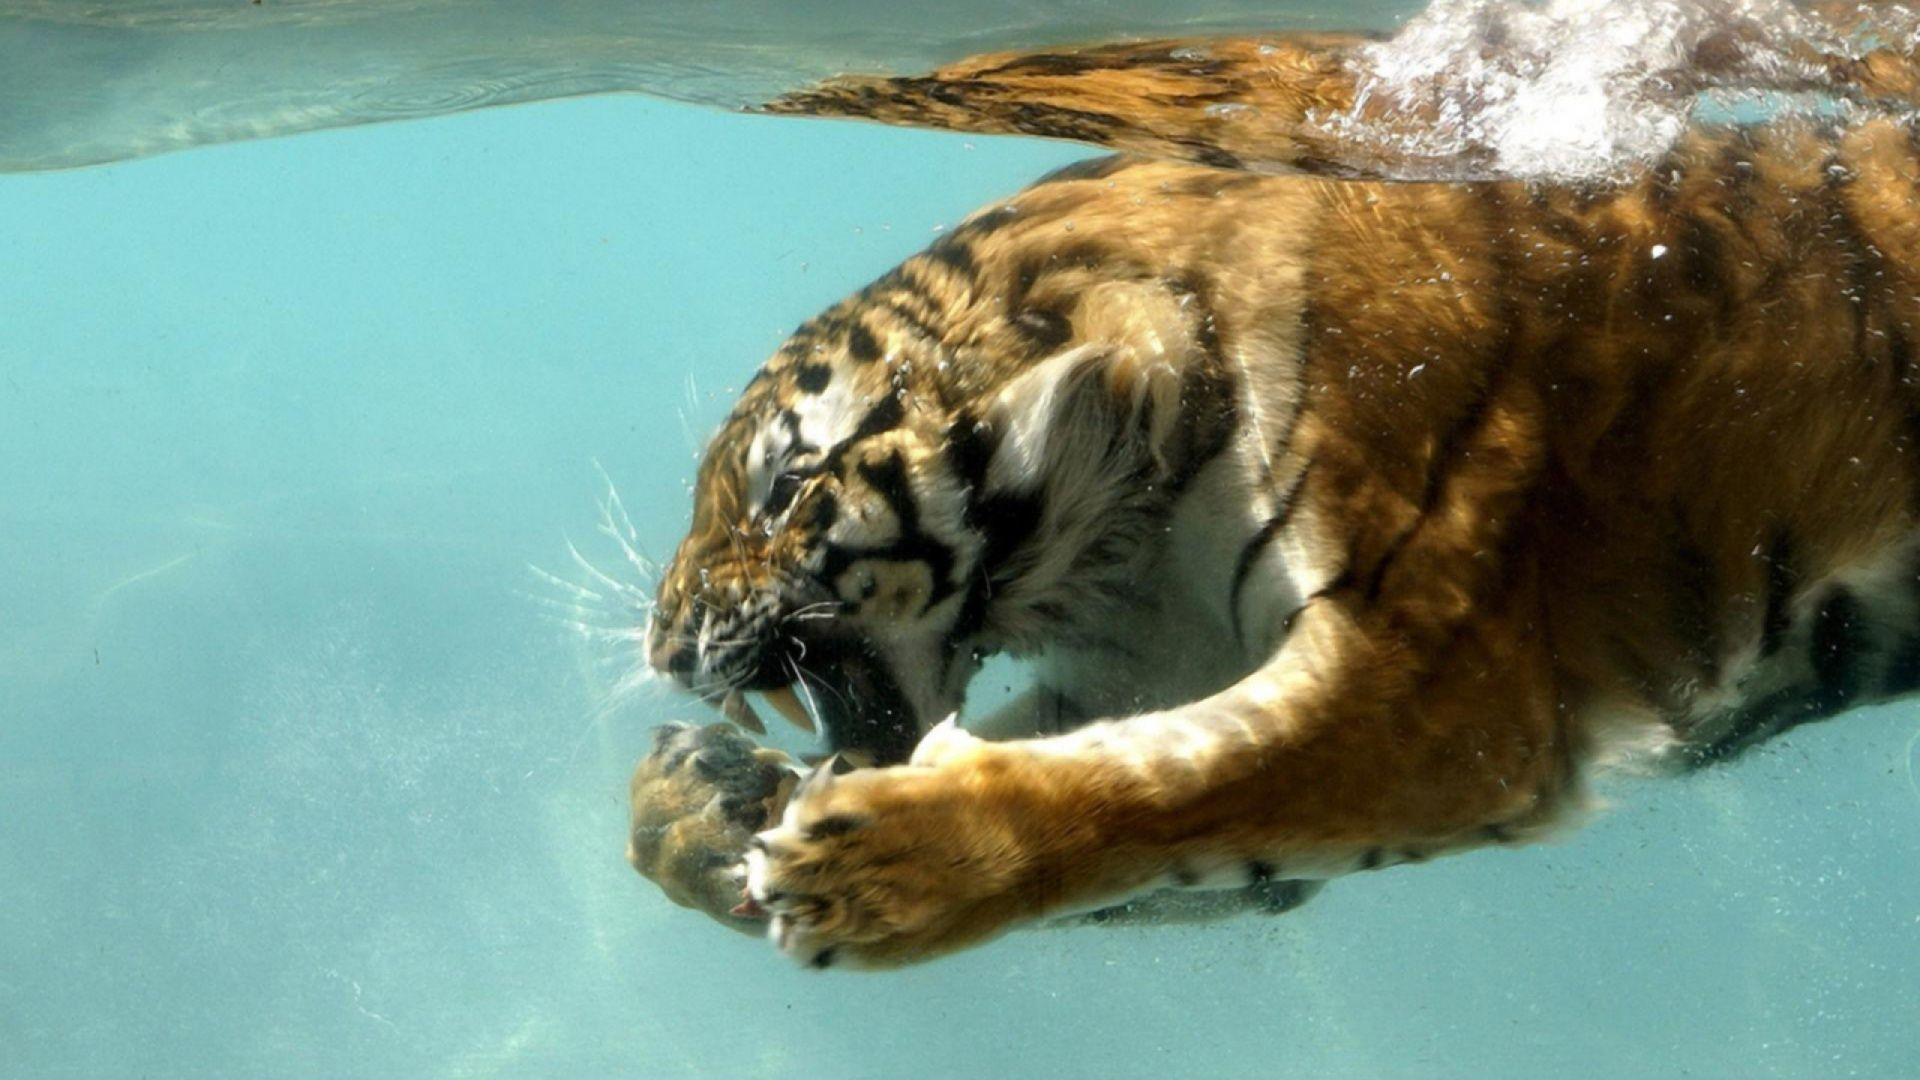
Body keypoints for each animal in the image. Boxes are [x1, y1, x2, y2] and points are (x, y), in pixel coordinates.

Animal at [624, 114, 1920, 970]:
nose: (662, 643)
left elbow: (1167, 784)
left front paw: (873, 873)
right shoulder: (1161, 657)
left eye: (784, 484)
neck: (1133, 522)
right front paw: (695, 812)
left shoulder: (1439, 697)